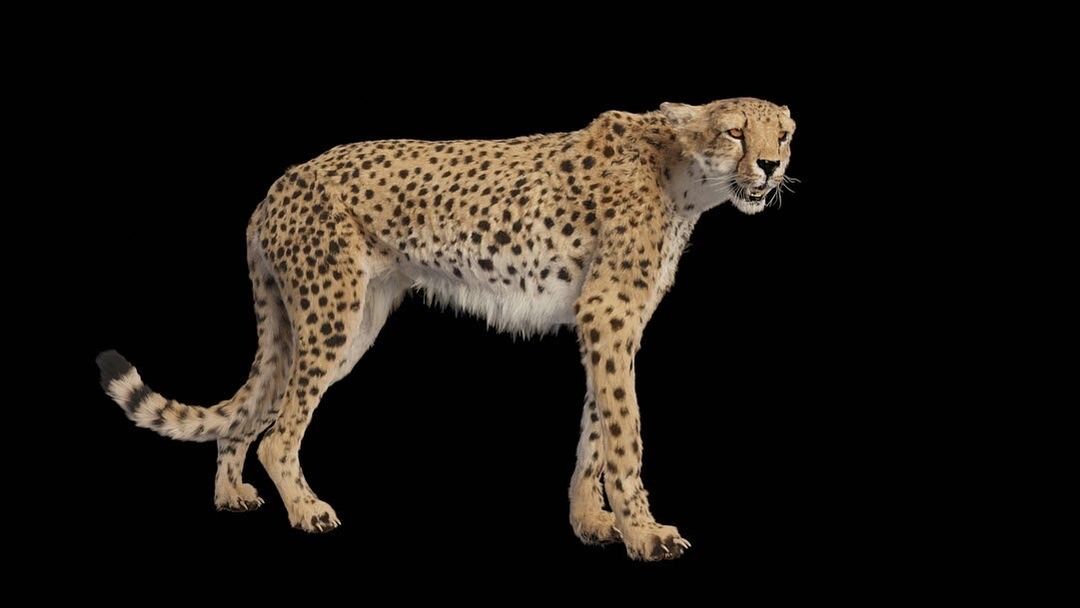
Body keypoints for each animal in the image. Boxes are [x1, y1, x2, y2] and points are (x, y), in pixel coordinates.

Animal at [96, 97, 795, 560]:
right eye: (735, 131)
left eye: (784, 135)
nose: (769, 166)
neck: (684, 174)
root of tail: (278, 184)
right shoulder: (609, 314)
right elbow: (626, 433)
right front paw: (645, 533)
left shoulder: (607, 322)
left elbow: (597, 427)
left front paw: (592, 522)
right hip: (331, 314)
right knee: (280, 429)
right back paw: (307, 510)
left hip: (342, 324)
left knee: (251, 412)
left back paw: (231, 494)